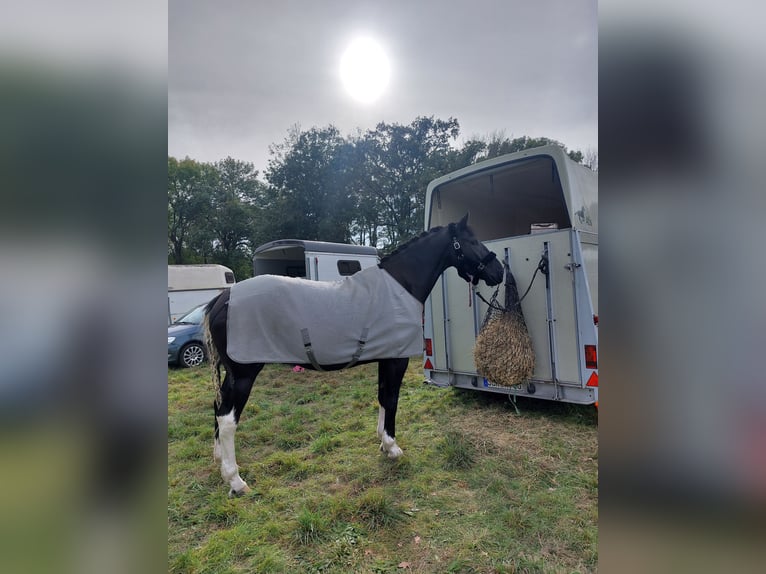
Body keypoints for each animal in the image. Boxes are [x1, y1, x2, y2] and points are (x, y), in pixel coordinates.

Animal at [204, 214, 504, 498]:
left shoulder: (386, 358)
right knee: (228, 420)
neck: (399, 287)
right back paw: (236, 481)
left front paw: (383, 443)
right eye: (472, 241)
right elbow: (392, 399)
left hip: (232, 375)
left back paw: (218, 460)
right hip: (244, 373)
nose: (498, 271)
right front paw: (393, 447)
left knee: (218, 408)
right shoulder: (397, 360)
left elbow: (382, 396)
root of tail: (222, 300)